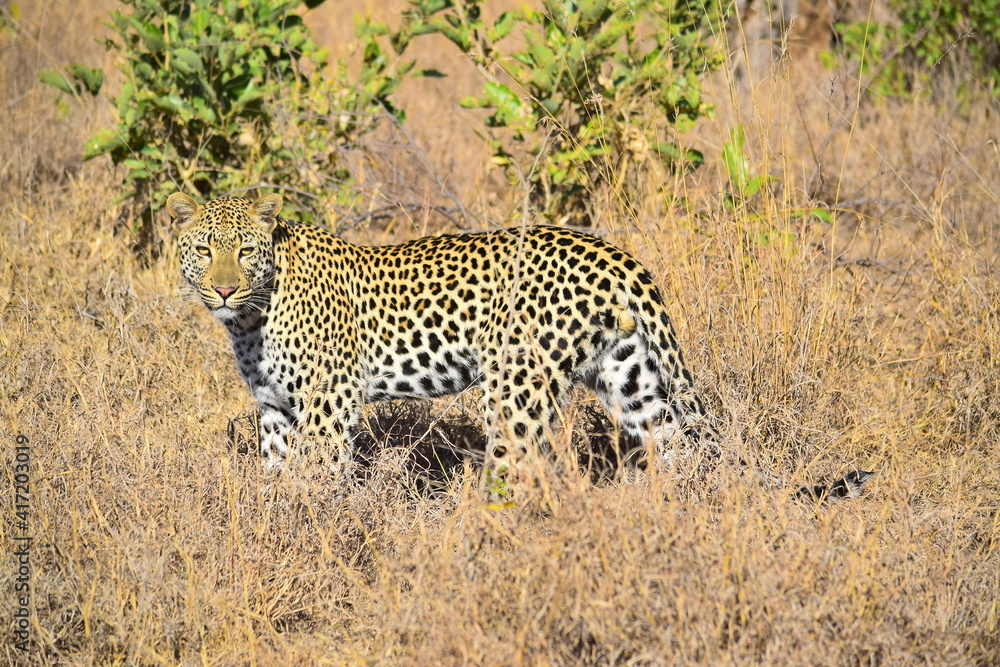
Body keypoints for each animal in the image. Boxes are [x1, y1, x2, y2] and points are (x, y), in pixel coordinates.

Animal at [169, 192, 872, 500]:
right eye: (205, 249)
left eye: (245, 252)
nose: (225, 288)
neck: (249, 320)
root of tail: (616, 254)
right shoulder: (274, 408)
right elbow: (276, 469)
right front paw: (276, 522)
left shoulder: (328, 400)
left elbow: (316, 471)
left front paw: (316, 527)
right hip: (632, 377)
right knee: (677, 446)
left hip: (515, 387)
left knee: (521, 470)